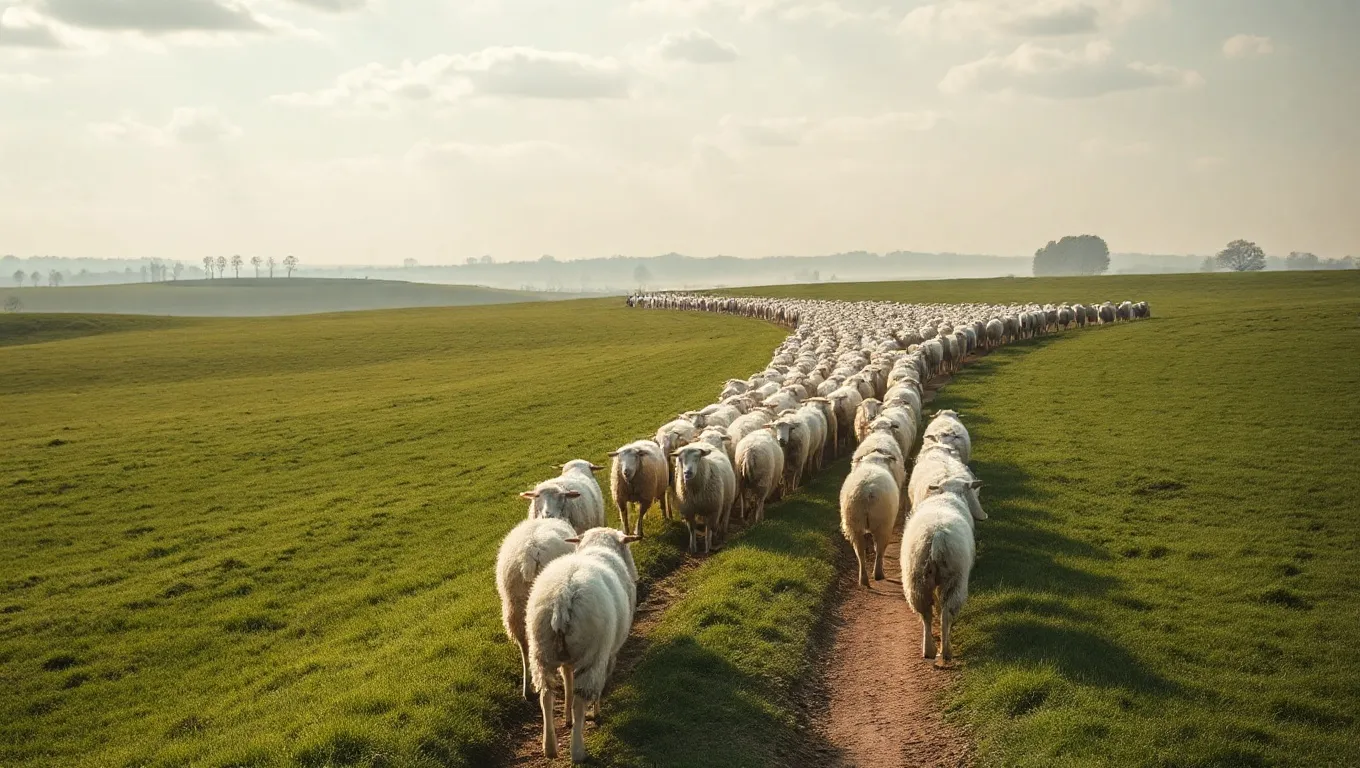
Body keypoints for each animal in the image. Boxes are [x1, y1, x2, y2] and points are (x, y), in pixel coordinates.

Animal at [528, 527, 639, 763]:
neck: (598, 548)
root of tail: (562, 597)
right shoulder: (609, 652)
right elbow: (603, 679)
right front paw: (596, 712)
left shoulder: (567, 659)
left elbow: (567, 680)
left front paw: (567, 718)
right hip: (592, 653)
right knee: (581, 699)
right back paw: (578, 750)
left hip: (541, 650)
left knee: (546, 695)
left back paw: (549, 746)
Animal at [840, 449, 902, 587]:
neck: (874, 462)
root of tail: (867, 492)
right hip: (883, 523)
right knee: (880, 549)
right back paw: (878, 574)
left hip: (854, 524)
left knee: (860, 552)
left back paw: (863, 580)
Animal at [901, 475, 985, 663]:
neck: (948, 496)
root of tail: (936, 535)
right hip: (956, 578)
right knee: (947, 612)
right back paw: (946, 651)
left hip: (916, 578)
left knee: (925, 612)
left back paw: (928, 650)